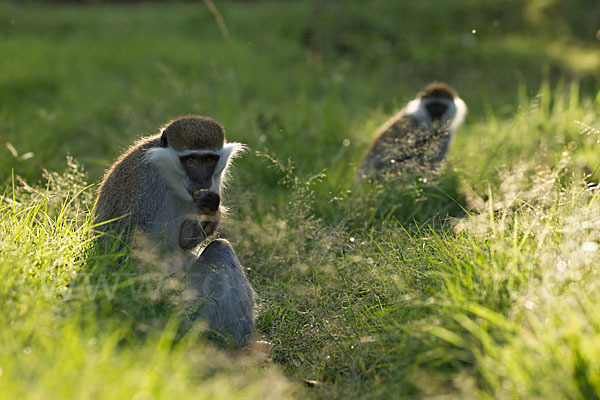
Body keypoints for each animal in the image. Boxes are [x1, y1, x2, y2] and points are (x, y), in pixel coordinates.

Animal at [95, 115, 254, 344]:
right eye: (191, 160)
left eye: (209, 160)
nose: (201, 180)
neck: (170, 180)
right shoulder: (145, 183)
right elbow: (129, 250)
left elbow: (185, 241)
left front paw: (210, 211)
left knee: (220, 248)